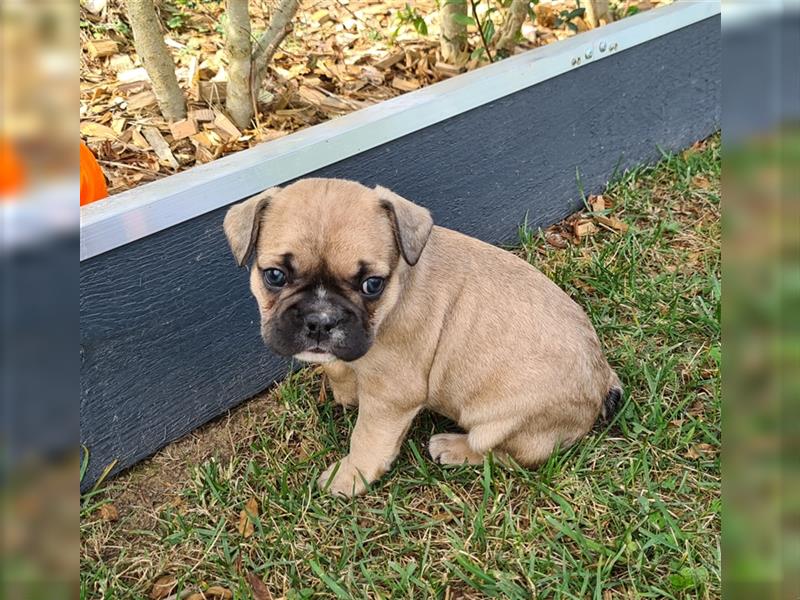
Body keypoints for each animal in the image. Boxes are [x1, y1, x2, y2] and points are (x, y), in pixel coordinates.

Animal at [225, 178, 624, 496]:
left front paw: (350, 477)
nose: (321, 321)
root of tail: (602, 381)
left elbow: (367, 438)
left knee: (506, 456)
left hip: (503, 420)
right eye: (274, 276)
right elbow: (341, 369)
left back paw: (454, 448)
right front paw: (345, 391)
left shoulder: (391, 395)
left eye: (372, 285)